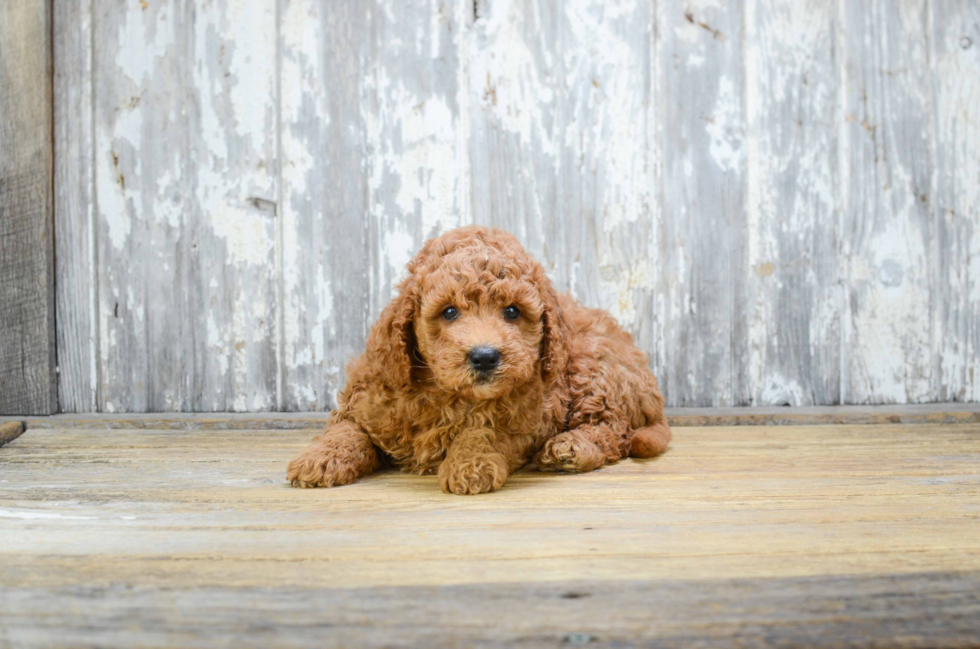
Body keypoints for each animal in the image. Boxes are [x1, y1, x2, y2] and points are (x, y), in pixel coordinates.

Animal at [284, 225, 668, 494]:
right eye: (449, 312)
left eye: (512, 312)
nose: (484, 357)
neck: (448, 393)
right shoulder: (368, 397)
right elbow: (347, 429)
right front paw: (319, 458)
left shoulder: (531, 414)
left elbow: (485, 431)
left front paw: (470, 464)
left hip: (594, 367)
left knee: (613, 430)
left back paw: (569, 448)